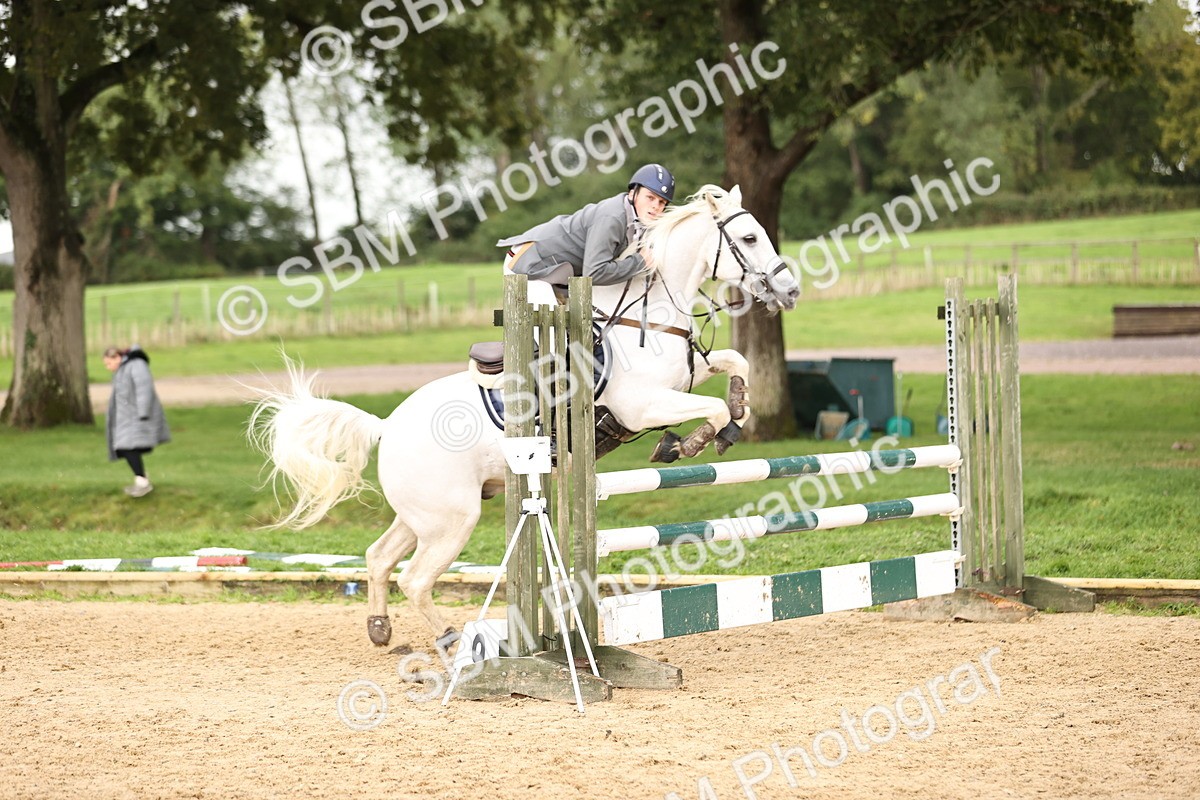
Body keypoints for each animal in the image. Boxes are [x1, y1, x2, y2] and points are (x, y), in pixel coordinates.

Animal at [249, 185, 800, 652]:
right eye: (749, 238)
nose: (790, 291)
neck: (649, 310)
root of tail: (387, 425)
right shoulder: (642, 405)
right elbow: (708, 410)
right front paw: (692, 442)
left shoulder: (682, 378)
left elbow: (736, 363)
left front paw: (738, 410)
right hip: (452, 519)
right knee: (416, 578)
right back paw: (453, 640)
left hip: (423, 514)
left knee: (380, 556)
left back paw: (380, 628)